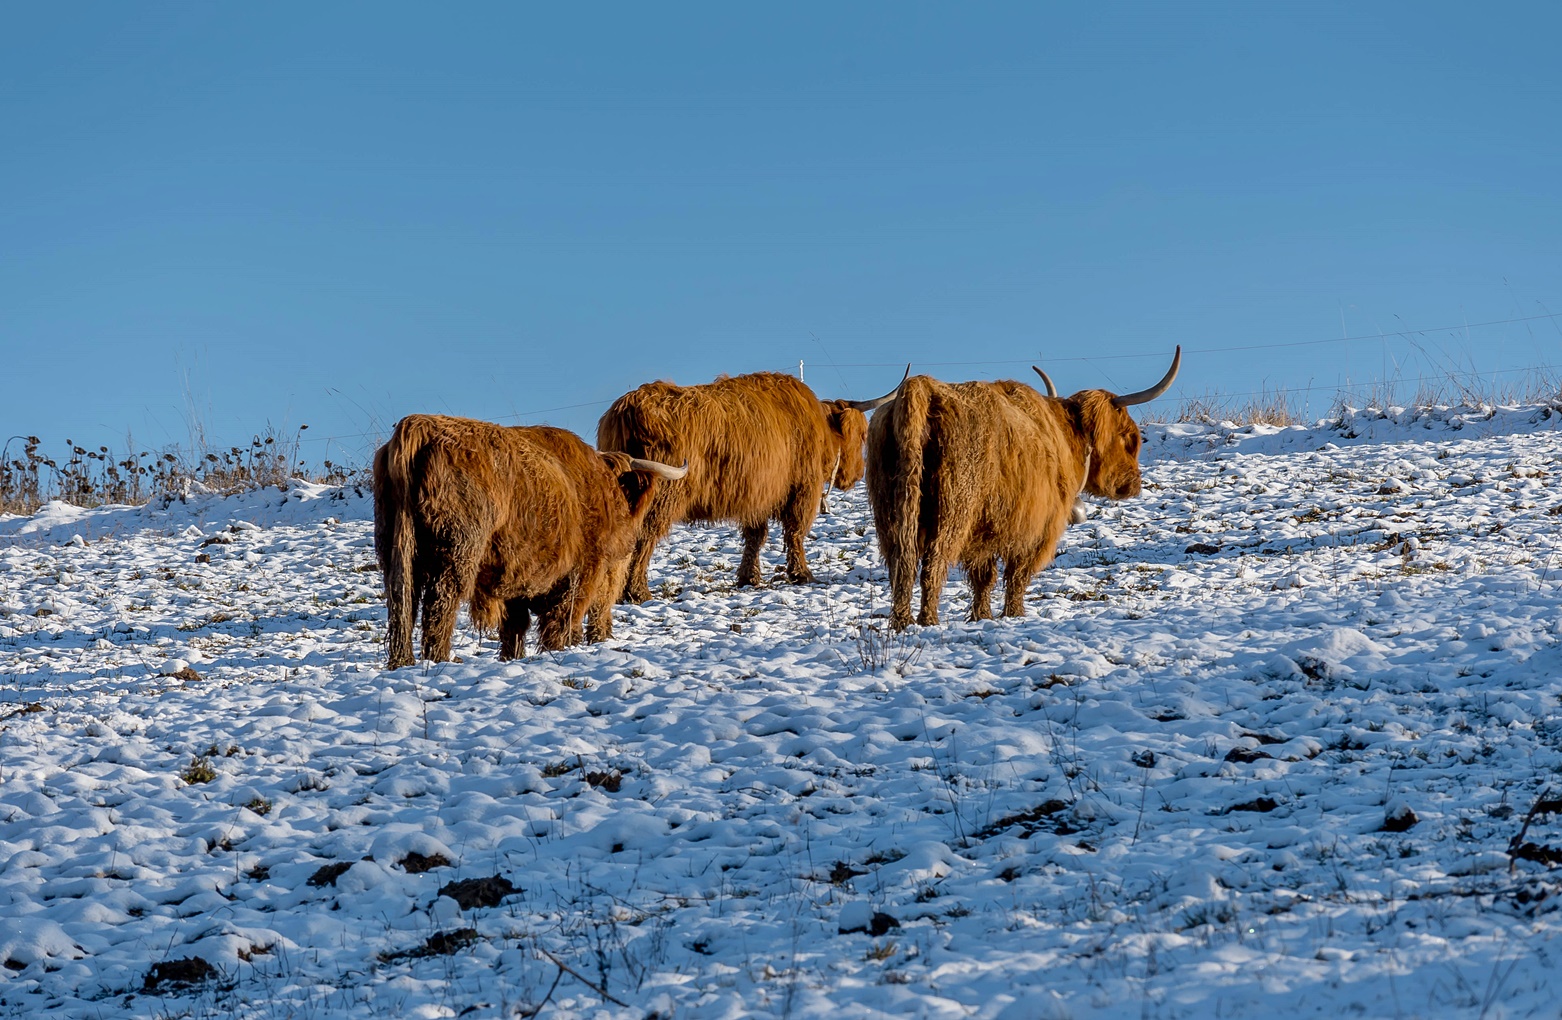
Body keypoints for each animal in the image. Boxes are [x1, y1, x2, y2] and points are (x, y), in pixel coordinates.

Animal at [374, 412, 687, 668]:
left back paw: (402, 662)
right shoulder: (581, 571)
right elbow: (562, 618)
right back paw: (440, 658)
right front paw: (559, 649)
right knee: (440, 603)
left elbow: (515, 626)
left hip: (396, 548)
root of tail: (422, 425)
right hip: (457, 551)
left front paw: (512, 657)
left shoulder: (514, 575)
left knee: (402, 603)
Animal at [596, 370, 905, 599]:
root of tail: (631, 407)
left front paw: (749, 577)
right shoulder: (801, 489)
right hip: (661, 496)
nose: (857, 474)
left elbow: (755, 536)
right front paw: (802, 574)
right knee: (644, 538)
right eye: (862, 435)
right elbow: (795, 532)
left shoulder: (757, 495)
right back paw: (637, 591)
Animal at [868, 346, 1180, 624]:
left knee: (901, 565)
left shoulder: (986, 529)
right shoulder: (1038, 527)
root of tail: (921, 387)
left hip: (892, 514)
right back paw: (928, 620)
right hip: (952, 512)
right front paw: (1015, 613)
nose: (1133, 484)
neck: (1065, 436)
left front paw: (982, 616)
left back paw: (901, 621)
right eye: (1128, 437)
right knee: (933, 562)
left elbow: (984, 576)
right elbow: (1018, 574)